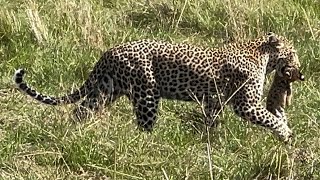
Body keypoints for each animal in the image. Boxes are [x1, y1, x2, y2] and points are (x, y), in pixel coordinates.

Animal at [13, 32, 302, 142]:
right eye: (293, 53)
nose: (300, 71)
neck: (262, 54)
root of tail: (108, 52)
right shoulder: (246, 104)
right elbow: (270, 118)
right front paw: (285, 133)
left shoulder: (214, 101)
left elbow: (212, 122)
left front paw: (211, 140)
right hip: (146, 96)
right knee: (144, 127)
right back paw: (151, 144)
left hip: (105, 91)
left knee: (81, 111)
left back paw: (73, 133)